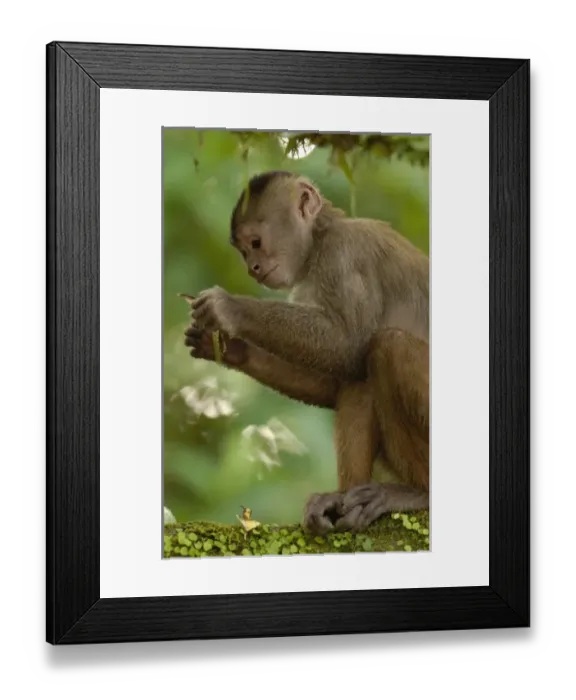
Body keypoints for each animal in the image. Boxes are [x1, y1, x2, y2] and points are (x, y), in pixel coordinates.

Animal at [184, 170, 429, 535]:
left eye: (255, 243)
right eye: (244, 252)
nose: (253, 268)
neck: (320, 241)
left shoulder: (344, 254)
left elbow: (350, 345)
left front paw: (230, 309)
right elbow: (335, 378)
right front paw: (230, 349)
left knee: (386, 347)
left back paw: (419, 492)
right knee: (360, 377)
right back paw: (340, 501)